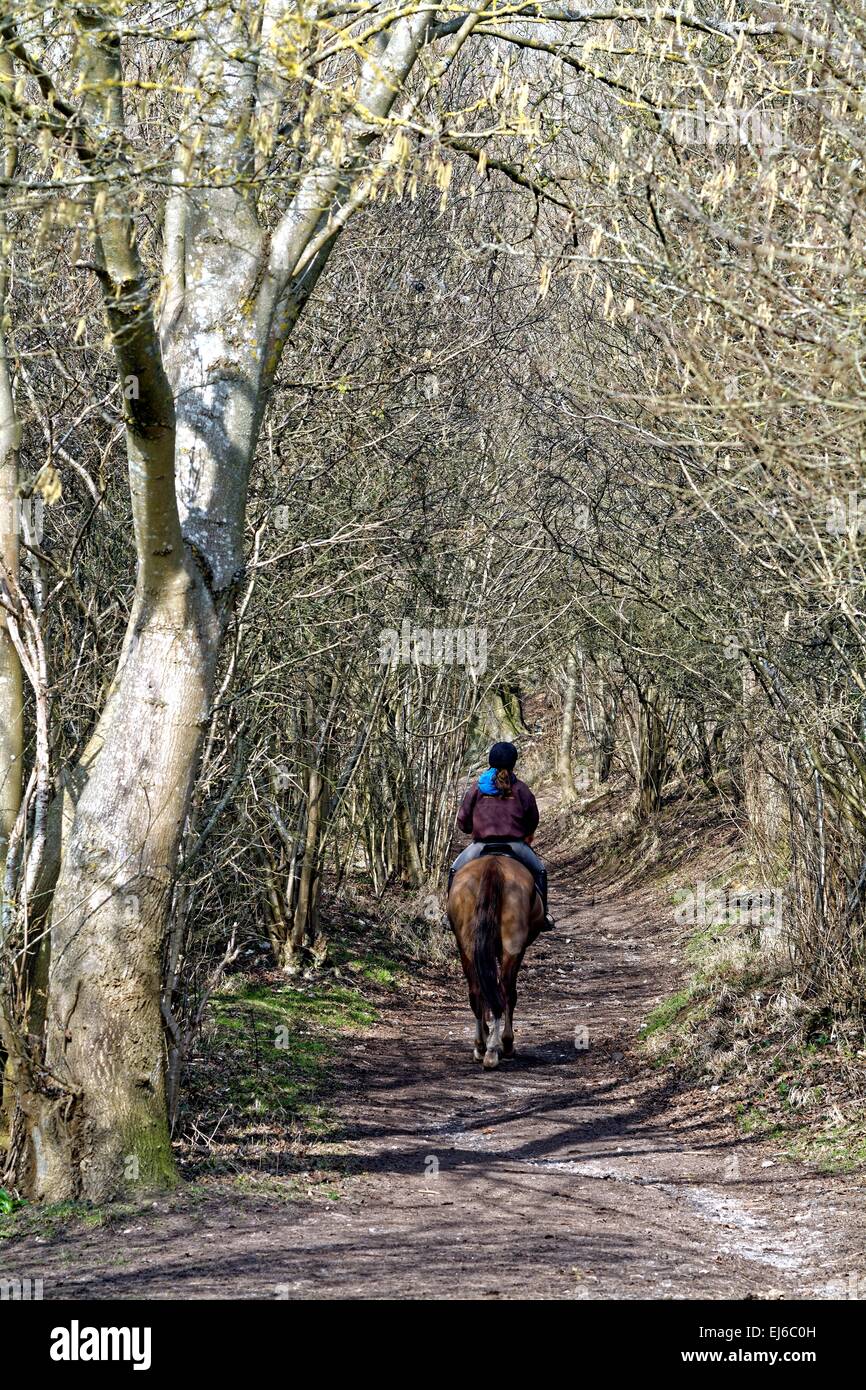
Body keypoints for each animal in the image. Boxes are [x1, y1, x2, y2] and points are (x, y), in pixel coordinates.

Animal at [447, 852, 544, 1069]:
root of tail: (493, 864)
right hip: (512, 946)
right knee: (505, 991)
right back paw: (498, 1047)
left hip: (467, 946)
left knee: (477, 992)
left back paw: (481, 1046)